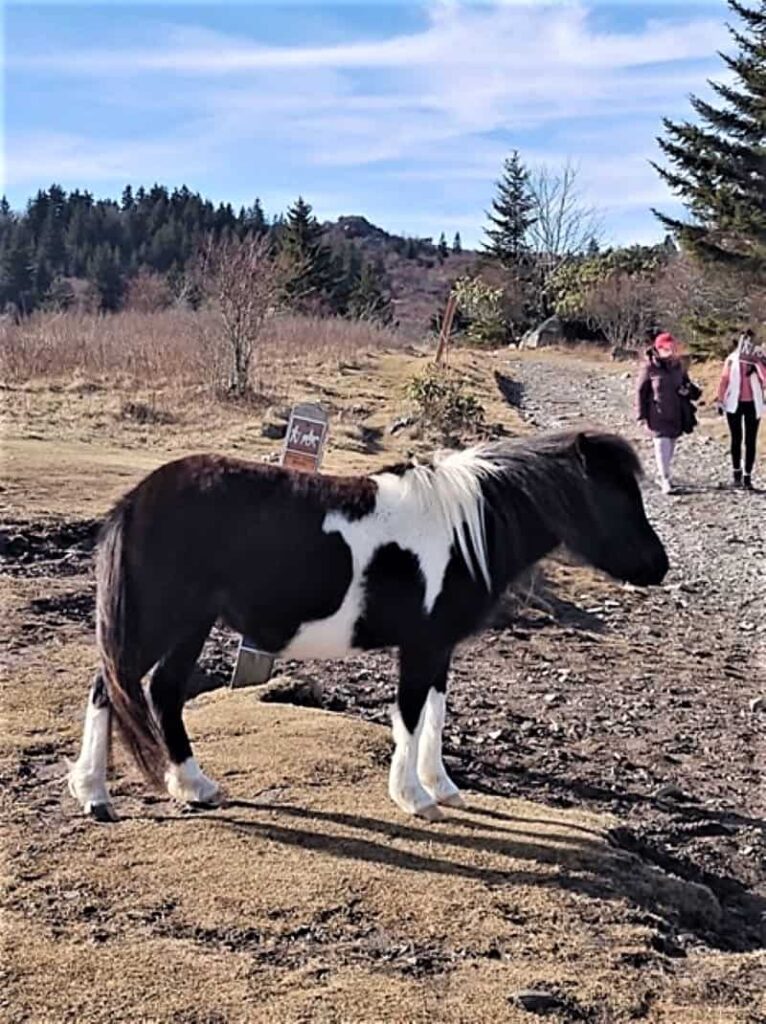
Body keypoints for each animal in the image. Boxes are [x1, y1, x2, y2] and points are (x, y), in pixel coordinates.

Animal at [68, 430, 668, 823]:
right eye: (616, 497)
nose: (659, 567)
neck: (465, 528)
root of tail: (134, 501)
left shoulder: (440, 647)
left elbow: (435, 715)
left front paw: (442, 787)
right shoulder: (421, 646)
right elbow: (410, 716)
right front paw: (414, 798)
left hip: (191, 624)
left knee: (162, 692)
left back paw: (193, 786)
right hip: (160, 620)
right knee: (110, 689)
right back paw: (96, 795)